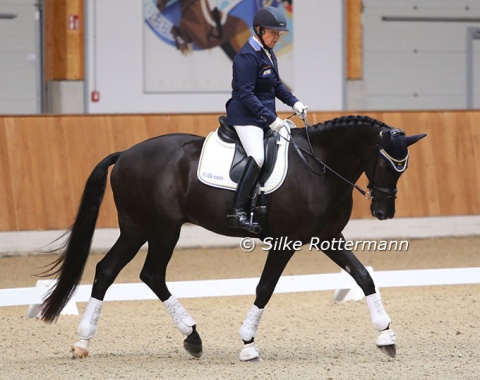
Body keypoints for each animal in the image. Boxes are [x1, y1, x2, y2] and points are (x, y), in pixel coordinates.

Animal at [39, 114, 426, 360]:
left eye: (403, 167)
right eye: (386, 163)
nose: (383, 212)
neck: (319, 166)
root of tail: (126, 154)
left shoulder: (328, 237)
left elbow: (363, 277)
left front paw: (385, 336)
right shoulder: (285, 242)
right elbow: (265, 287)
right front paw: (248, 342)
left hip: (137, 228)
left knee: (109, 270)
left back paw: (86, 342)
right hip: (162, 229)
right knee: (149, 273)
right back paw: (189, 336)